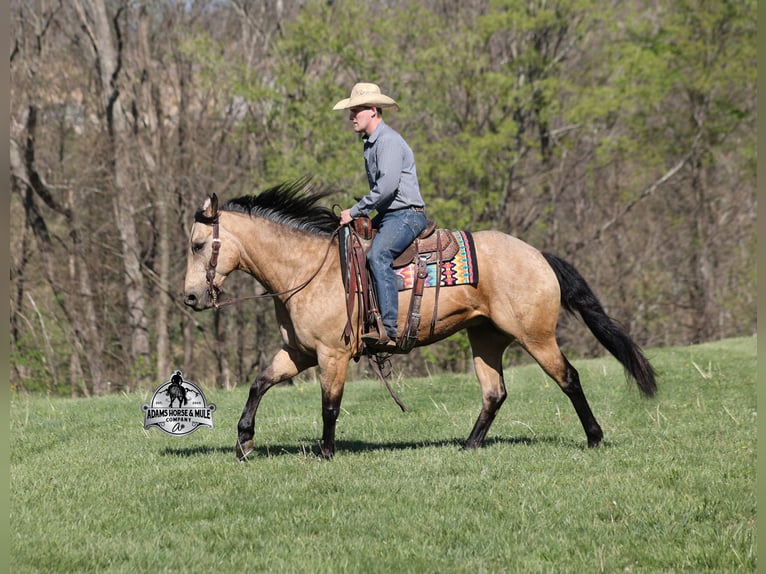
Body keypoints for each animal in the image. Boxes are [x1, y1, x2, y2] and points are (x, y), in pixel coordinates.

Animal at [183, 179, 656, 460]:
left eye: (199, 244)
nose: (189, 297)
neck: (309, 269)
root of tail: (539, 255)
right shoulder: (298, 352)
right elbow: (259, 383)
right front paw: (244, 441)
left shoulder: (332, 354)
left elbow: (329, 406)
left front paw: (326, 453)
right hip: (485, 338)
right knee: (494, 393)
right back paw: (469, 446)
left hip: (536, 336)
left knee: (569, 378)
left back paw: (594, 437)